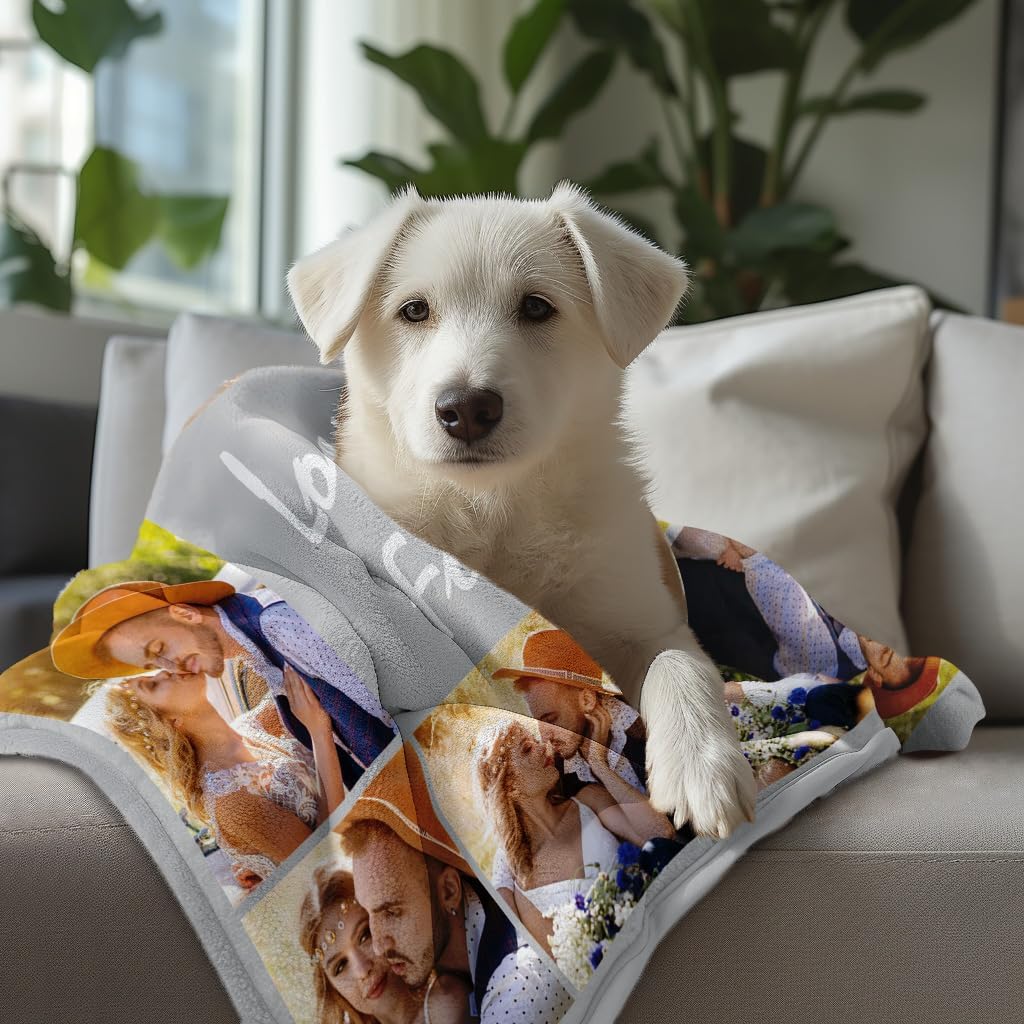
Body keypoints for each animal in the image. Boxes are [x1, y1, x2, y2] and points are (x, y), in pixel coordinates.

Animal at [286, 181, 756, 838]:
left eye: (536, 308)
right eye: (414, 311)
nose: (466, 408)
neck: (494, 509)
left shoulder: (645, 617)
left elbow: (679, 662)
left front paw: (703, 768)